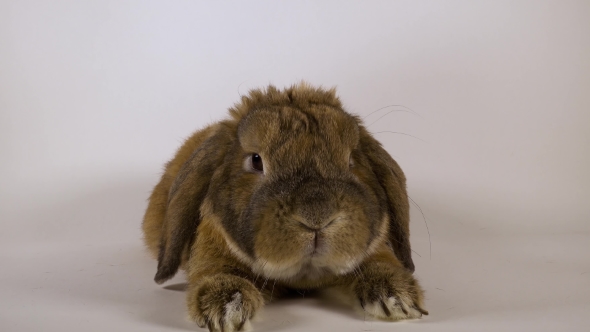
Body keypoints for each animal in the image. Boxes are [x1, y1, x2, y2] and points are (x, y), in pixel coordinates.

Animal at [143, 83, 430, 332]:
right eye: (255, 160)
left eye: (351, 160)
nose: (317, 217)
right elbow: (217, 274)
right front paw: (226, 309)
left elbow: (379, 264)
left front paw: (398, 298)